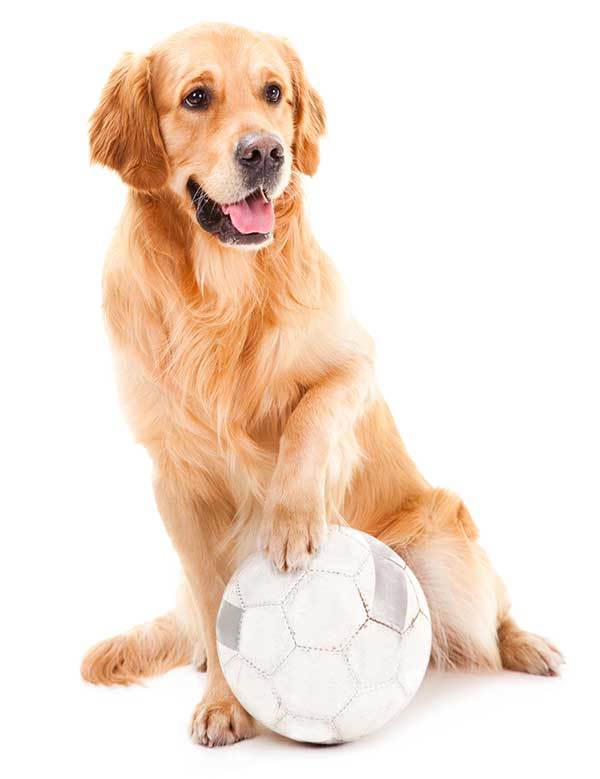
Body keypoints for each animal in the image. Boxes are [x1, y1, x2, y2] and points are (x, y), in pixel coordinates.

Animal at [83, 21, 564, 748]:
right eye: (196, 96)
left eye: (273, 92)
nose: (265, 151)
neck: (222, 294)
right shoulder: (173, 473)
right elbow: (211, 593)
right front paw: (224, 701)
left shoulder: (355, 364)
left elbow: (309, 418)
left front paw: (290, 522)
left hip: (444, 543)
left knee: (491, 615)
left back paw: (527, 645)